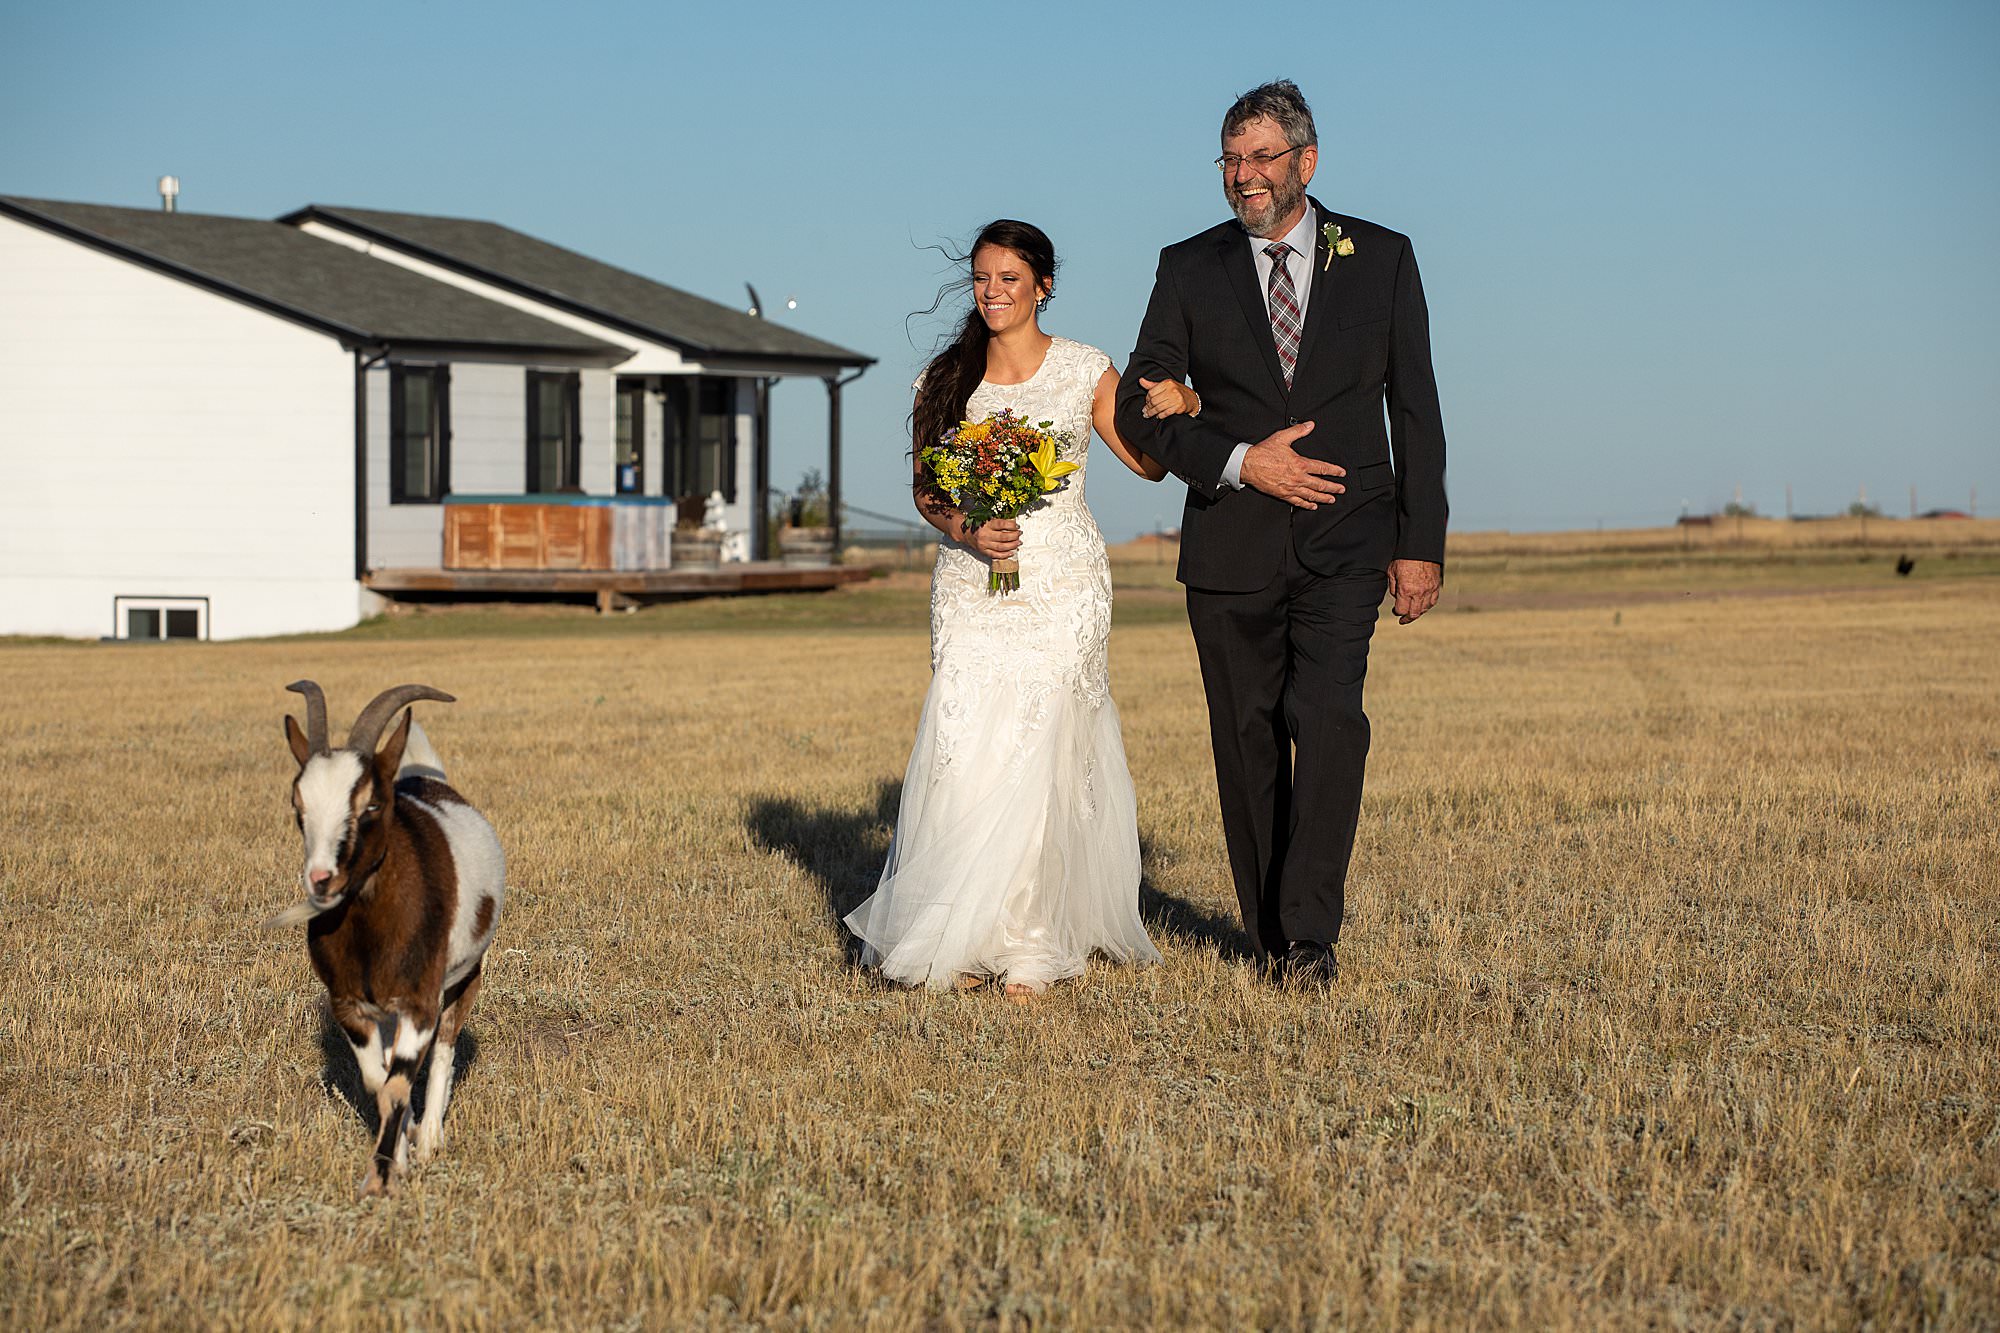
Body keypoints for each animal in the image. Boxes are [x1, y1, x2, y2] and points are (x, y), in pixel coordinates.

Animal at [276, 676, 508, 1192]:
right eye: (298, 805)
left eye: (371, 804)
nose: (322, 880)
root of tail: (427, 778)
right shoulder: (349, 1004)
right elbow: (377, 1082)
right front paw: (395, 1158)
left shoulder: (420, 1001)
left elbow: (401, 1081)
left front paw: (383, 1176)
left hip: (466, 976)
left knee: (444, 1047)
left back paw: (431, 1138)